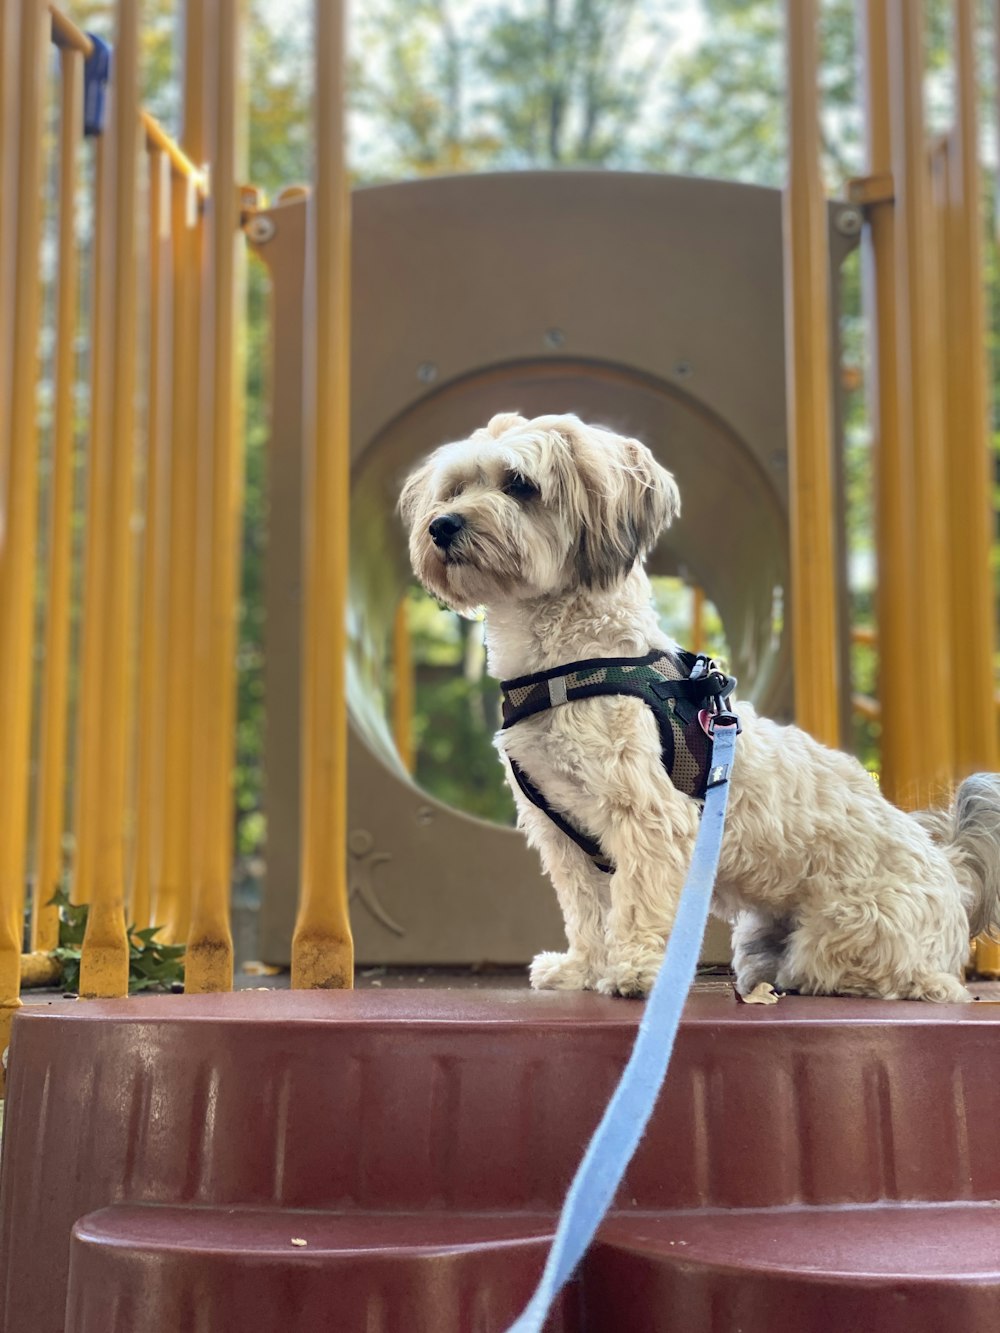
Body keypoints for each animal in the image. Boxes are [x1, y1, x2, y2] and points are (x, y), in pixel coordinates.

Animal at [402, 413, 1000, 1002]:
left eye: (520, 485)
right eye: (454, 488)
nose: (442, 525)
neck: (565, 667)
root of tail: (951, 870)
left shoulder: (648, 817)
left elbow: (639, 901)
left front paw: (638, 971)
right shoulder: (563, 836)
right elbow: (586, 910)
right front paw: (582, 968)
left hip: (847, 927)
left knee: (899, 978)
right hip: (759, 929)